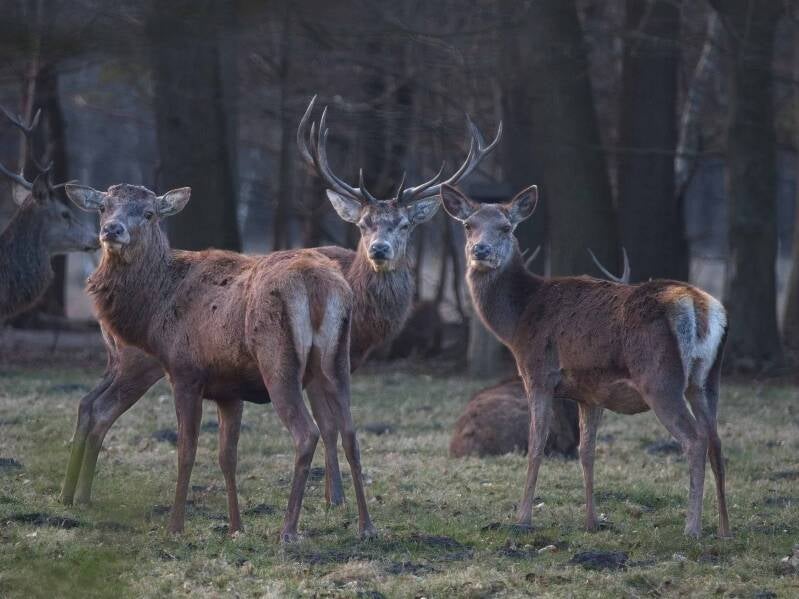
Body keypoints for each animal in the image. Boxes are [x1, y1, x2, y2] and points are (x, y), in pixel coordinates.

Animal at [65, 182, 373, 543]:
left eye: (149, 213)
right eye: (104, 206)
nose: (112, 230)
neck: (156, 308)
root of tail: (319, 287)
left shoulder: (185, 373)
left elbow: (186, 451)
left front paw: (175, 526)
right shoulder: (229, 390)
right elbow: (228, 457)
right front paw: (236, 527)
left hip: (278, 362)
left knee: (306, 433)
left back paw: (288, 530)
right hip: (337, 362)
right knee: (350, 433)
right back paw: (366, 526)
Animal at [440, 184, 730, 539]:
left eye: (506, 227)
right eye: (468, 225)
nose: (480, 250)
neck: (518, 321)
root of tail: (699, 305)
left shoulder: (539, 373)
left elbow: (536, 445)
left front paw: (522, 518)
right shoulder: (590, 393)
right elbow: (587, 452)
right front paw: (591, 521)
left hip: (661, 379)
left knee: (695, 440)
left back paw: (692, 527)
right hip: (707, 380)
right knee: (716, 440)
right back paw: (724, 527)